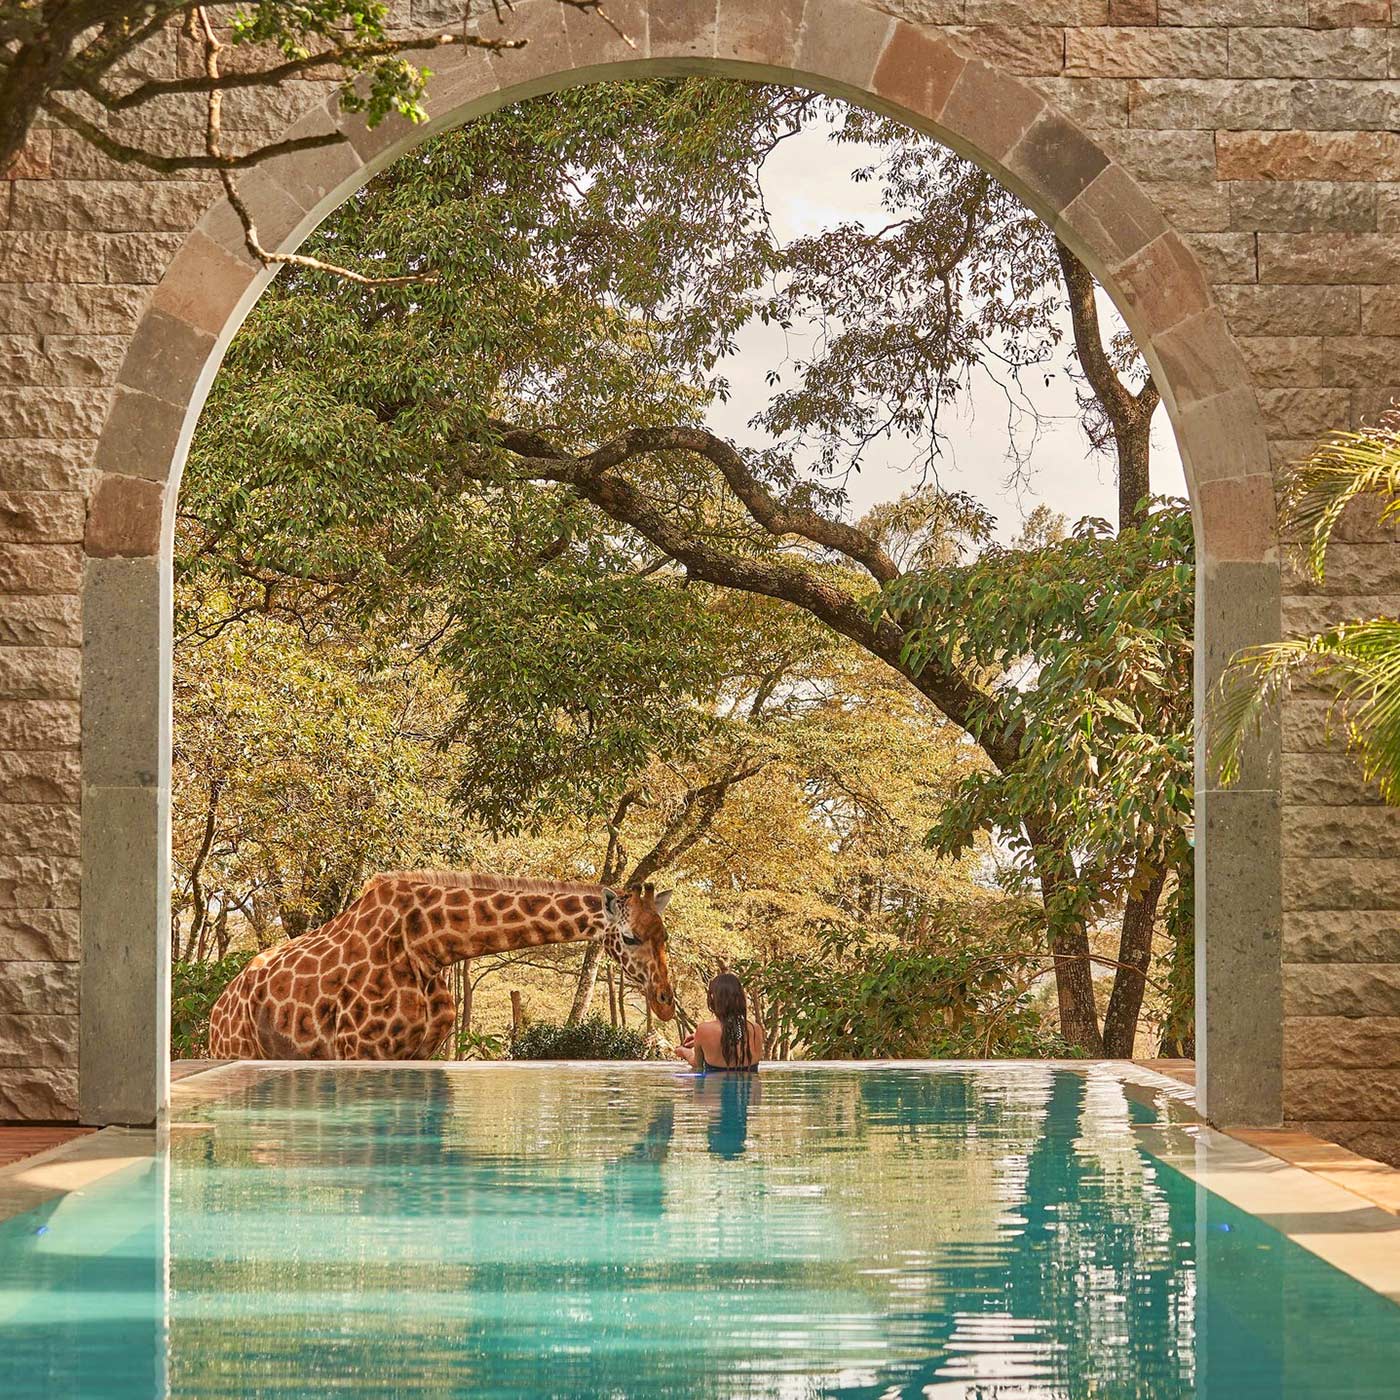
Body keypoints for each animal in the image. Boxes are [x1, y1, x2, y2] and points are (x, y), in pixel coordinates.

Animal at [206, 871, 676, 1060]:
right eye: (629, 937)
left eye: (665, 935)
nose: (666, 1003)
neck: (429, 946)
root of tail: (217, 1007)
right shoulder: (360, 1050)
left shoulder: (420, 1051)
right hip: (236, 1048)